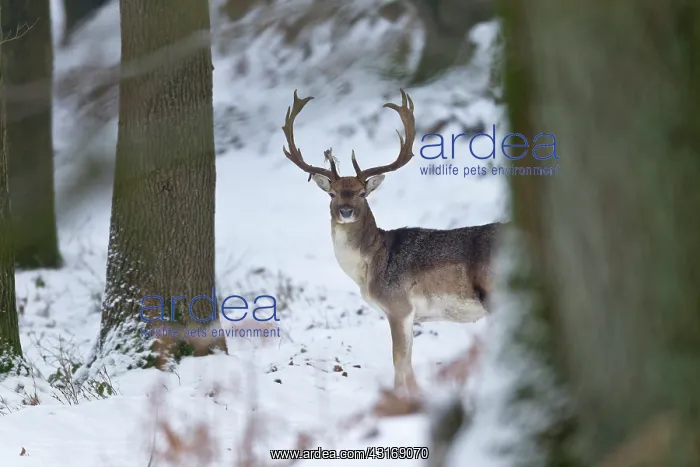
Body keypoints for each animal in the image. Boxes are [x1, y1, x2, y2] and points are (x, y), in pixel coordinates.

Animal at [281, 89, 504, 395]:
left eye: (362, 193)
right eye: (332, 193)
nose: (346, 211)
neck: (370, 266)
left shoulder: (399, 306)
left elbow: (399, 363)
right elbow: (407, 365)